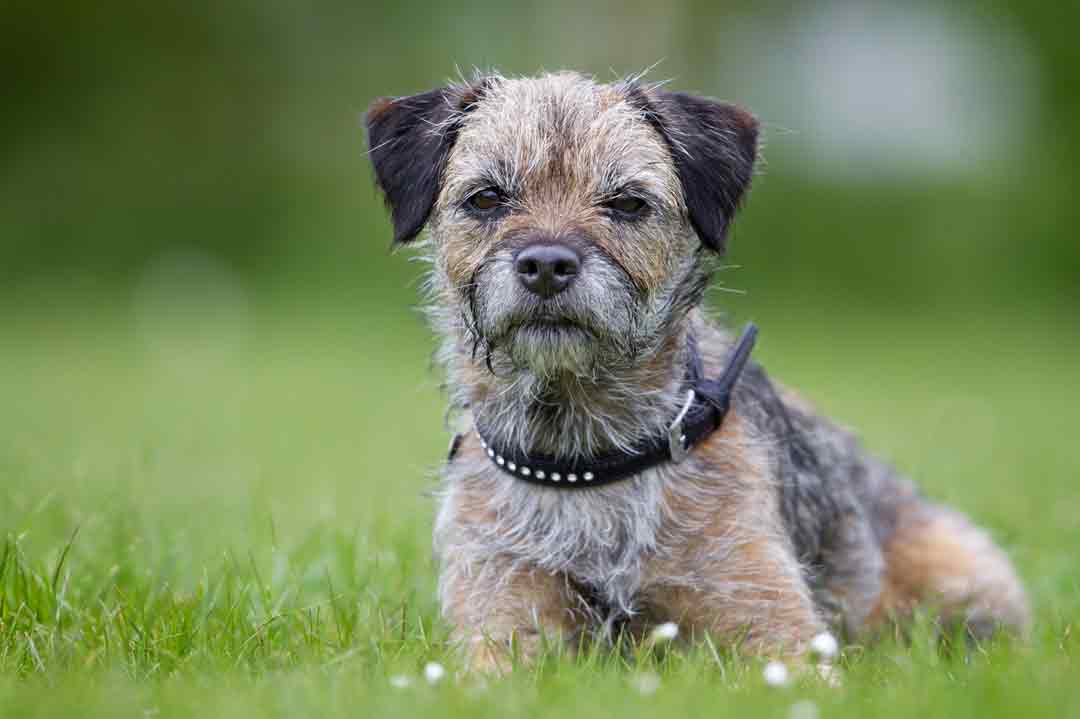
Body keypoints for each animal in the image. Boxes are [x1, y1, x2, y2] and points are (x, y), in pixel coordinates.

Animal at [365, 72, 1028, 673]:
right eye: (486, 197)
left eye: (628, 202)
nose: (548, 264)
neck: (584, 456)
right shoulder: (500, 615)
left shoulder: (776, 629)